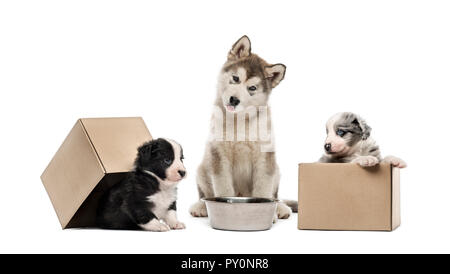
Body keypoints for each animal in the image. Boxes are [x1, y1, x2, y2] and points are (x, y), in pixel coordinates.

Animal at [189, 35, 298, 220]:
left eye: (252, 88)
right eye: (235, 78)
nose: (234, 100)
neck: (239, 120)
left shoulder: (264, 157)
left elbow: (263, 189)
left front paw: (270, 212)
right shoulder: (219, 155)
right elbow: (223, 188)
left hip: (276, 169)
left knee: (276, 195)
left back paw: (281, 208)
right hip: (203, 168)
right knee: (204, 194)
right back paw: (201, 206)